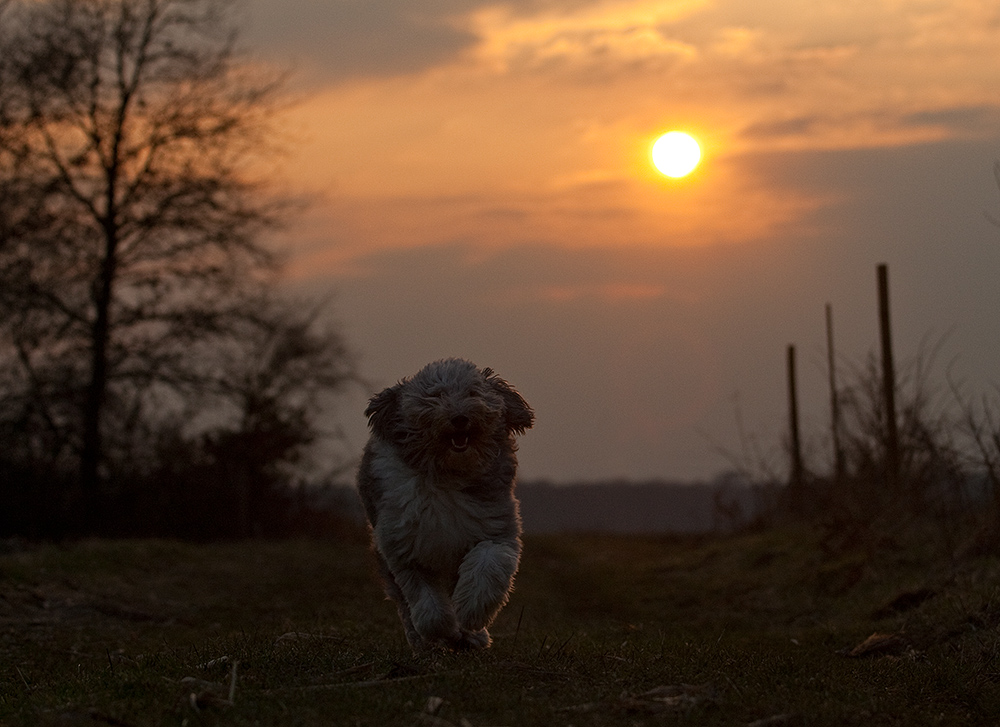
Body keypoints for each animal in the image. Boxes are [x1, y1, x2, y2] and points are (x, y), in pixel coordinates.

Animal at [358, 362, 536, 652]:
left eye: (473, 392)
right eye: (437, 395)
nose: (460, 417)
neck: (447, 472)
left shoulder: (495, 528)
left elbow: (488, 564)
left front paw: (472, 614)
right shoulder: (405, 550)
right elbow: (428, 606)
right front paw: (445, 632)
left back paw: (474, 635)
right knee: (406, 607)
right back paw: (424, 643)